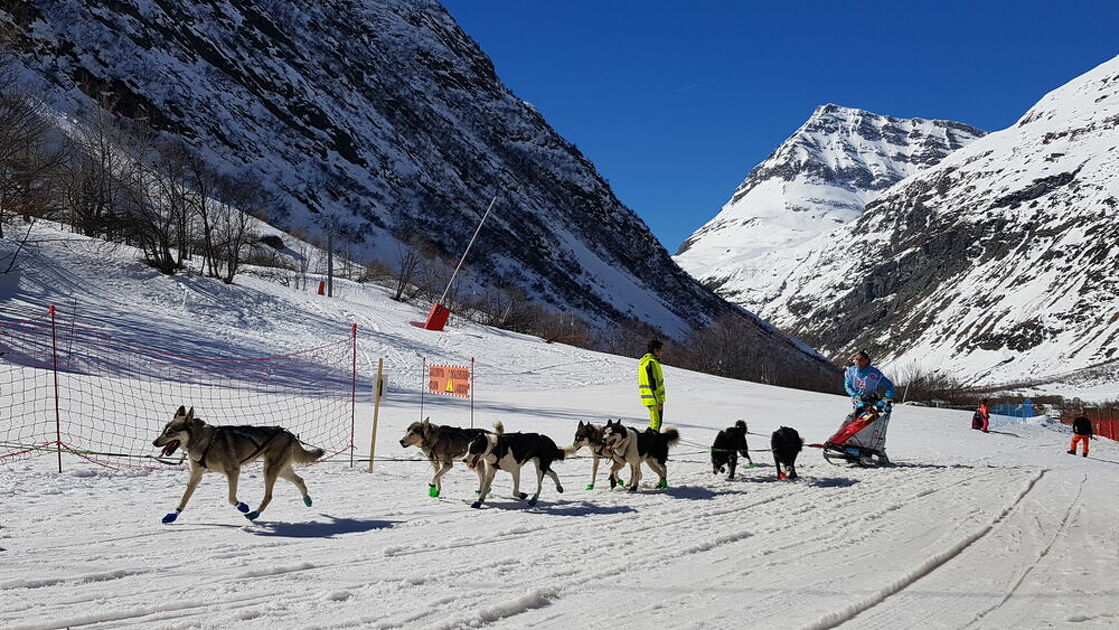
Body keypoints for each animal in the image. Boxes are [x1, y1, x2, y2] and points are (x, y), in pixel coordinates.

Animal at [152, 409, 324, 523]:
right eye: (163, 430)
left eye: (170, 432)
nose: (154, 442)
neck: (204, 441)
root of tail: (289, 435)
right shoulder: (196, 475)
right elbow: (184, 498)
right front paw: (173, 515)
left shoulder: (233, 471)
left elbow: (231, 498)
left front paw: (243, 506)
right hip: (279, 470)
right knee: (300, 480)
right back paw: (307, 499)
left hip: (269, 470)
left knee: (269, 496)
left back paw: (254, 513)